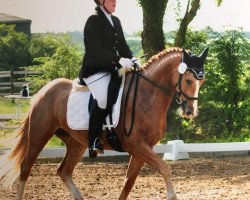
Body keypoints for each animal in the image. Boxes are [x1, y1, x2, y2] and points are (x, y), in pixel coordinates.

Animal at [0, 47, 208, 199]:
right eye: (188, 80)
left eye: (202, 81)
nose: (190, 112)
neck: (147, 95)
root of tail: (44, 91)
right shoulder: (136, 145)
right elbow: (165, 169)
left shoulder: (142, 149)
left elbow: (128, 183)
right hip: (38, 136)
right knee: (25, 169)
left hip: (76, 143)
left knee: (64, 171)